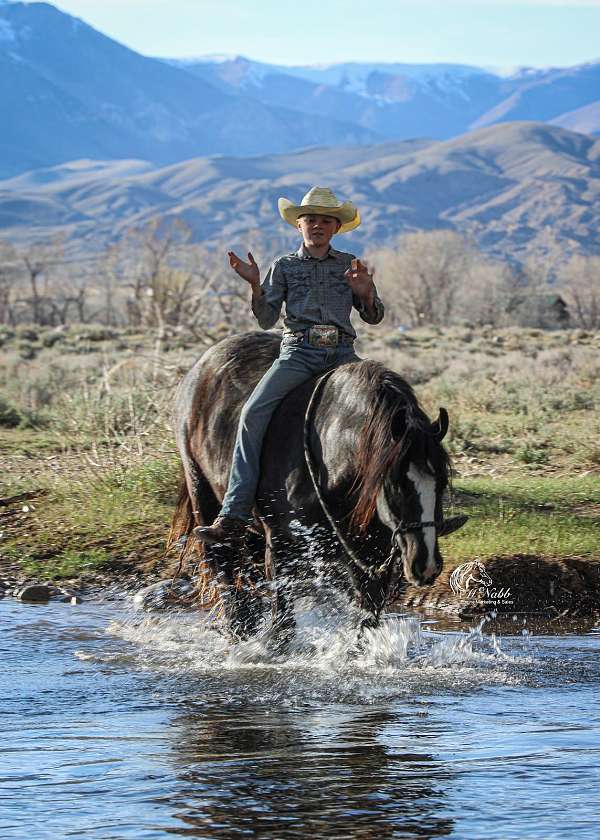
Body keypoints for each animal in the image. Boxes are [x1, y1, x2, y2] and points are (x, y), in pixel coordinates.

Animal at [170, 331, 456, 645]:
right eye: (396, 484)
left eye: (441, 482)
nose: (425, 564)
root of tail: (199, 368)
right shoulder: (281, 548)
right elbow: (283, 627)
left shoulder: (371, 555)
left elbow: (366, 622)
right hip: (204, 497)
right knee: (224, 568)